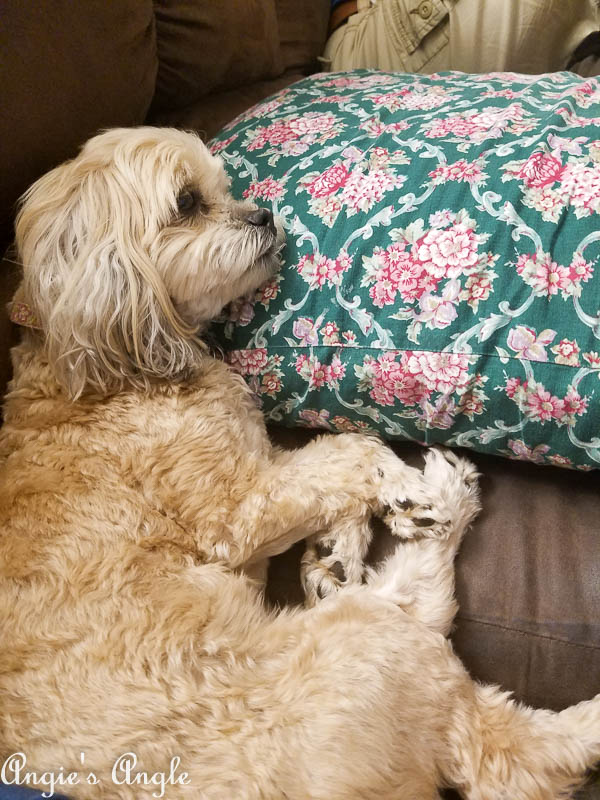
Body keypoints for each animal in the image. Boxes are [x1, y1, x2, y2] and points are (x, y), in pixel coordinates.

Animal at [1, 128, 600, 796]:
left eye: (225, 188)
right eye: (186, 203)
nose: (264, 215)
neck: (104, 369)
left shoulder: (268, 471)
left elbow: (325, 476)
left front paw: (340, 545)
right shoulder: (233, 510)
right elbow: (350, 449)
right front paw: (399, 487)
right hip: (363, 648)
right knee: (486, 713)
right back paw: (444, 495)